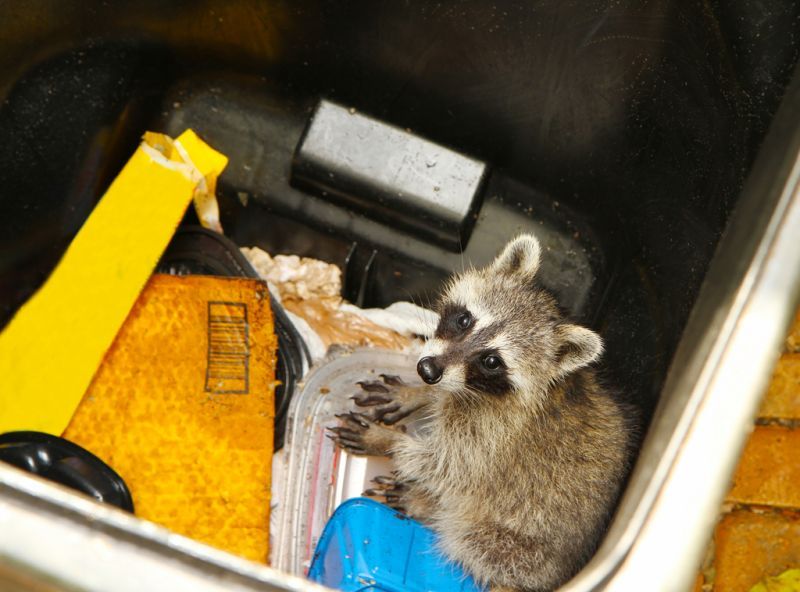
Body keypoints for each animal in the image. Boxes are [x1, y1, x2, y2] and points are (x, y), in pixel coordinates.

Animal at [328, 234, 636, 588]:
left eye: (491, 361)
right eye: (465, 320)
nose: (426, 370)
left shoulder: (491, 437)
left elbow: (446, 466)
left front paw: (385, 440)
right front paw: (418, 394)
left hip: (517, 547)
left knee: (468, 536)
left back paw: (427, 507)